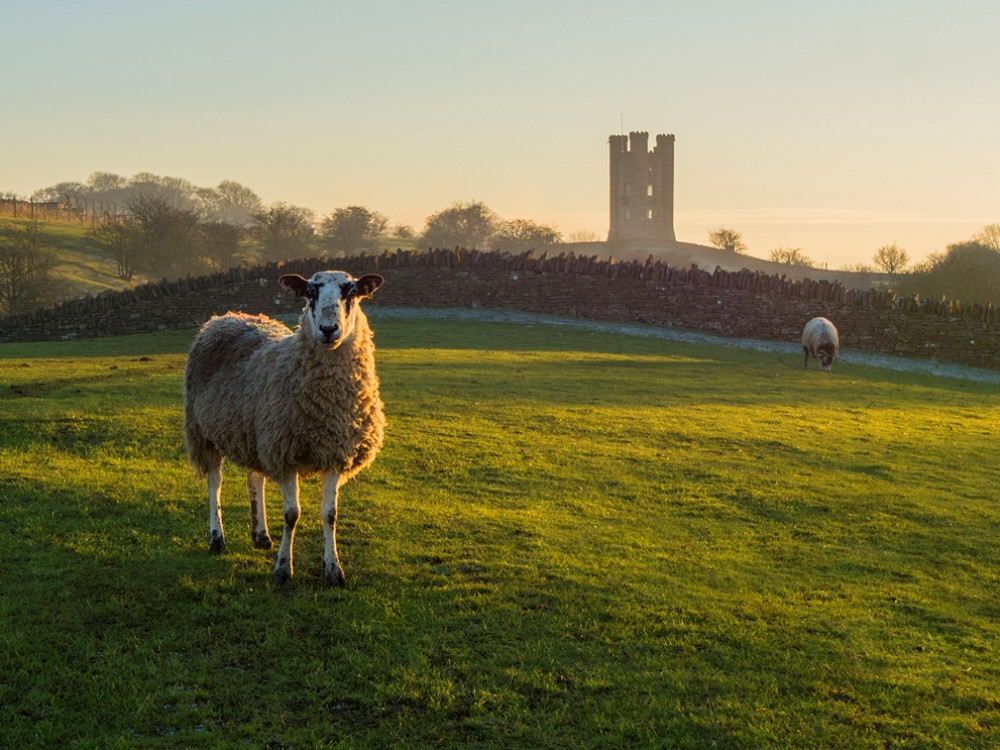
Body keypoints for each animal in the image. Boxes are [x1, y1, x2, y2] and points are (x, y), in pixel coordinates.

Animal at [182, 270, 384, 588]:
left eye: (351, 293)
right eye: (310, 292)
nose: (328, 329)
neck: (328, 405)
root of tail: (226, 316)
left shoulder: (334, 453)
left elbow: (330, 515)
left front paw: (333, 569)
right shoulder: (285, 454)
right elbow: (292, 514)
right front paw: (282, 569)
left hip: (254, 433)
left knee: (255, 478)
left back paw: (261, 535)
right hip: (203, 432)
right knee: (214, 483)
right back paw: (217, 538)